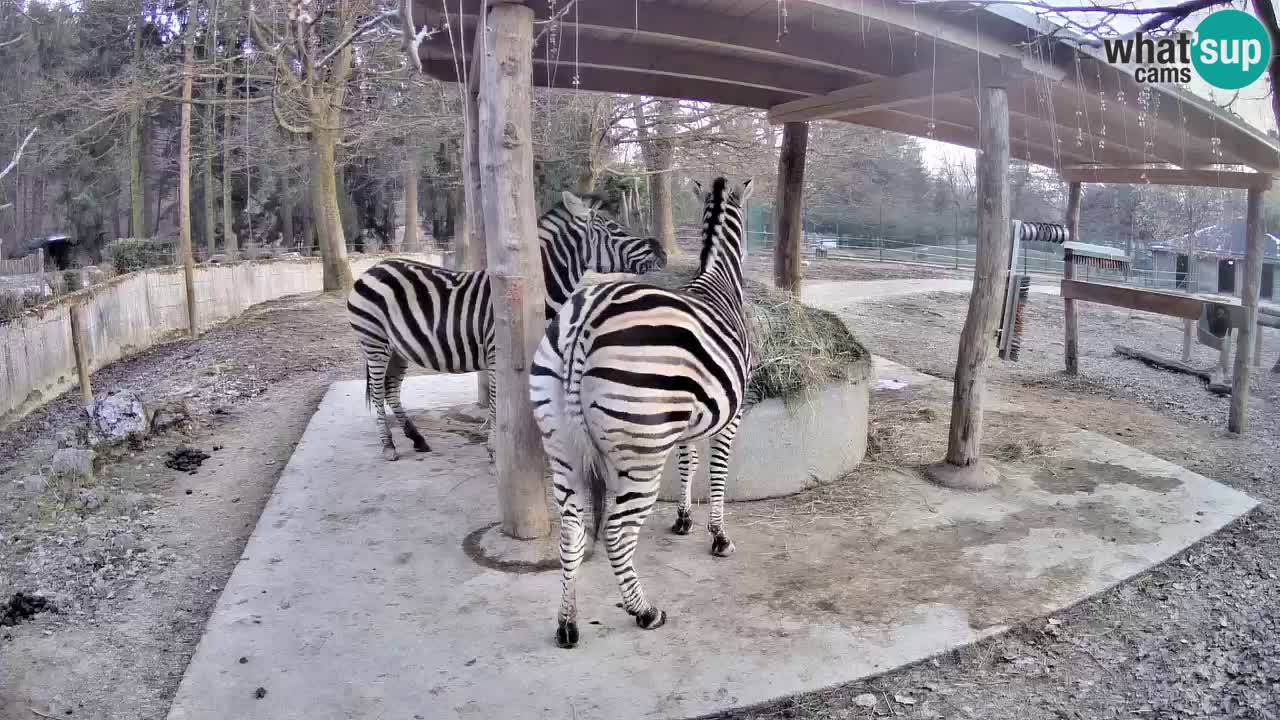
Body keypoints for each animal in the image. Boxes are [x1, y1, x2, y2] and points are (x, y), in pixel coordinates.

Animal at [350, 192, 670, 458]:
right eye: (614, 229)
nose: (663, 252)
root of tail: (373, 267)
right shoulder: (497, 353)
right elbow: (496, 402)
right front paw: (495, 449)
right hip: (374, 342)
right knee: (378, 391)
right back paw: (388, 446)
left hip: (397, 348)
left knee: (391, 390)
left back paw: (416, 438)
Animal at [527, 174, 747, 645]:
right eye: (612, 227)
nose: (660, 252)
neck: (718, 282)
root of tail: (584, 320)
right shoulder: (731, 415)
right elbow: (717, 473)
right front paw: (718, 536)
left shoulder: (685, 420)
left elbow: (688, 463)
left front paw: (683, 519)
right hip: (641, 454)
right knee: (615, 534)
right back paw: (644, 611)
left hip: (562, 445)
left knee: (571, 530)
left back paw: (567, 622)